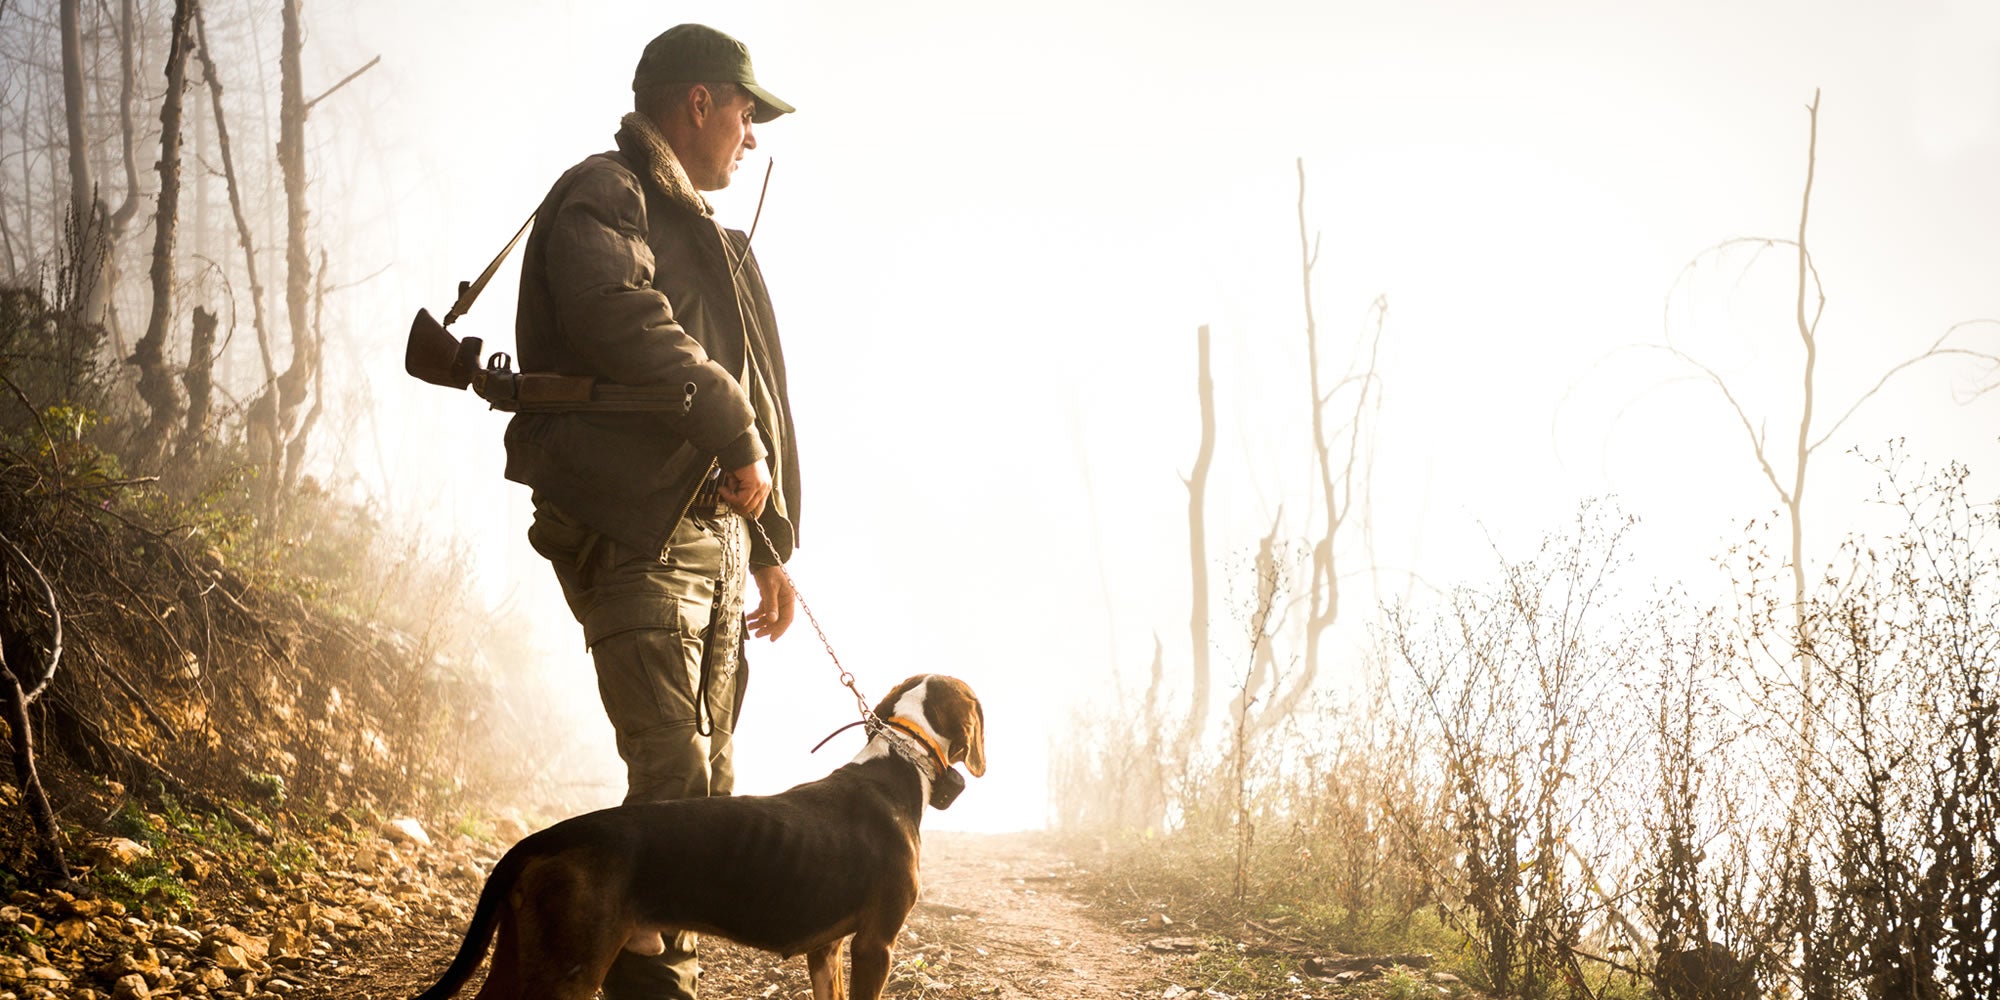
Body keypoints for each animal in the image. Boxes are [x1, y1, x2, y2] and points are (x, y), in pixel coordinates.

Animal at [412, 672, 984, 1000]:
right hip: (566, 970)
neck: (899, 763)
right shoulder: (875, 945)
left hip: (522, 953)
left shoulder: (826, 949)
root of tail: (544, 838)